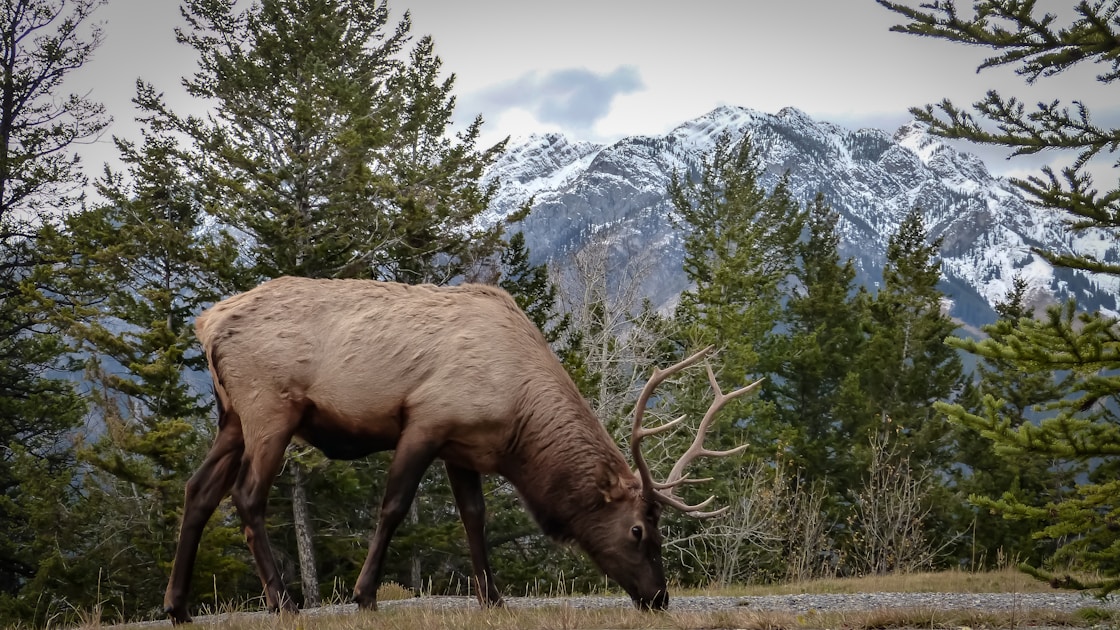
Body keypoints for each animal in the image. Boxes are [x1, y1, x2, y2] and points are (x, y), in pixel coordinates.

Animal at [163, 276, 759, 624]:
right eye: (639, 531)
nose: (659, 598)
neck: (519, 420)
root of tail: (206, 323)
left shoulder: (464, 446)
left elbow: (475, 516)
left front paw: (493, 598)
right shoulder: (427, 419)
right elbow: (393, 507)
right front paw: (364, 595)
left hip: (232, 417)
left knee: (197, 490)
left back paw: (177, 605)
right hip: (270, 406)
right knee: (246, 496)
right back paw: (283, 601)